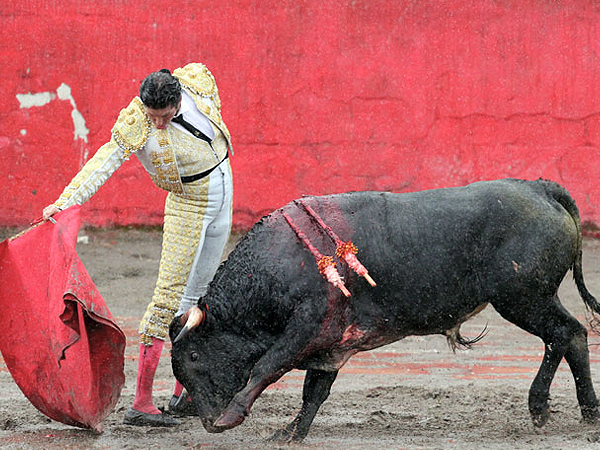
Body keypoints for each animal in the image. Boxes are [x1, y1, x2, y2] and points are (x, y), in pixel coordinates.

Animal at [168, 178, 600, 442]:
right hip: (533, 299)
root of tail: (540, 189)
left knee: (562, 335)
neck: (274, 269)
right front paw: (290, 433)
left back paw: (539, 406)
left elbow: (266, 367)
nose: (206, 421)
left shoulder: (307, 328)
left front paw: (233, 416)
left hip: (523, 299)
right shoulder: (331, 344)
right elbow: (314, 392)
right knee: (575, 335)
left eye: (194, 355)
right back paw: (589, 412)